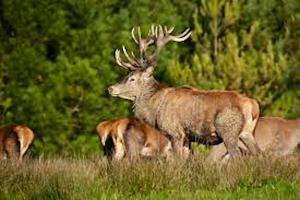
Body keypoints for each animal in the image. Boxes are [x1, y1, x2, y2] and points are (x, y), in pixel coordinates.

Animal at [108, 24, 260, 159]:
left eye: (132, 78)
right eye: (126, 75)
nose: (110, 88)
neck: (155, 110)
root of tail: (252, 105)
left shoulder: (175, 132)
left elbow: (177, 160)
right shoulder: (188, 137)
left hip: (228, 130)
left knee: (237, 157)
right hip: (246, 132)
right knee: (259, 153)